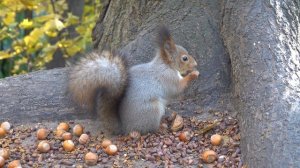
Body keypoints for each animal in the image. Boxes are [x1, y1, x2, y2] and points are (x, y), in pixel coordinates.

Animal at [68, 25, 199, 134]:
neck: (166, 65)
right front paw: (194, 74)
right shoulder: (167, 77)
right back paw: (161, 128)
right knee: (150, 128)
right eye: (185, 58)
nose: (196, 64)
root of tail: (126, 127)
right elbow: (178, 88)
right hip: (152, 110)